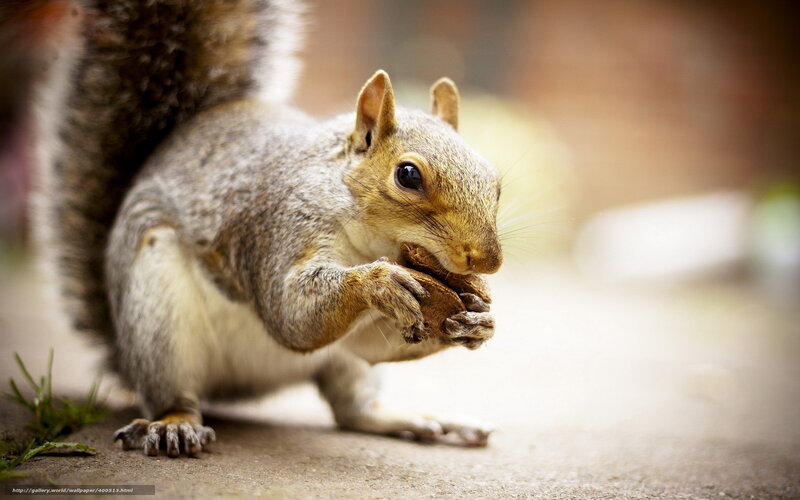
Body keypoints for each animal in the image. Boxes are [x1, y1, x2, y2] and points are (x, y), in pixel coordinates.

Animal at [31, 0, 503, 457]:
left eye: (495, 180)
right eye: (407, 175)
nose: (487, 261)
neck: (369, 241)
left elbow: (370, 343)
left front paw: (476, 320)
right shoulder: (279, 227)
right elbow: (289, 312)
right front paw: (378, 283)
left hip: (339, 364)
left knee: (354, 408)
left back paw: (421, 421)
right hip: (157, 314)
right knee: (174, 392)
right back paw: (175, 424)